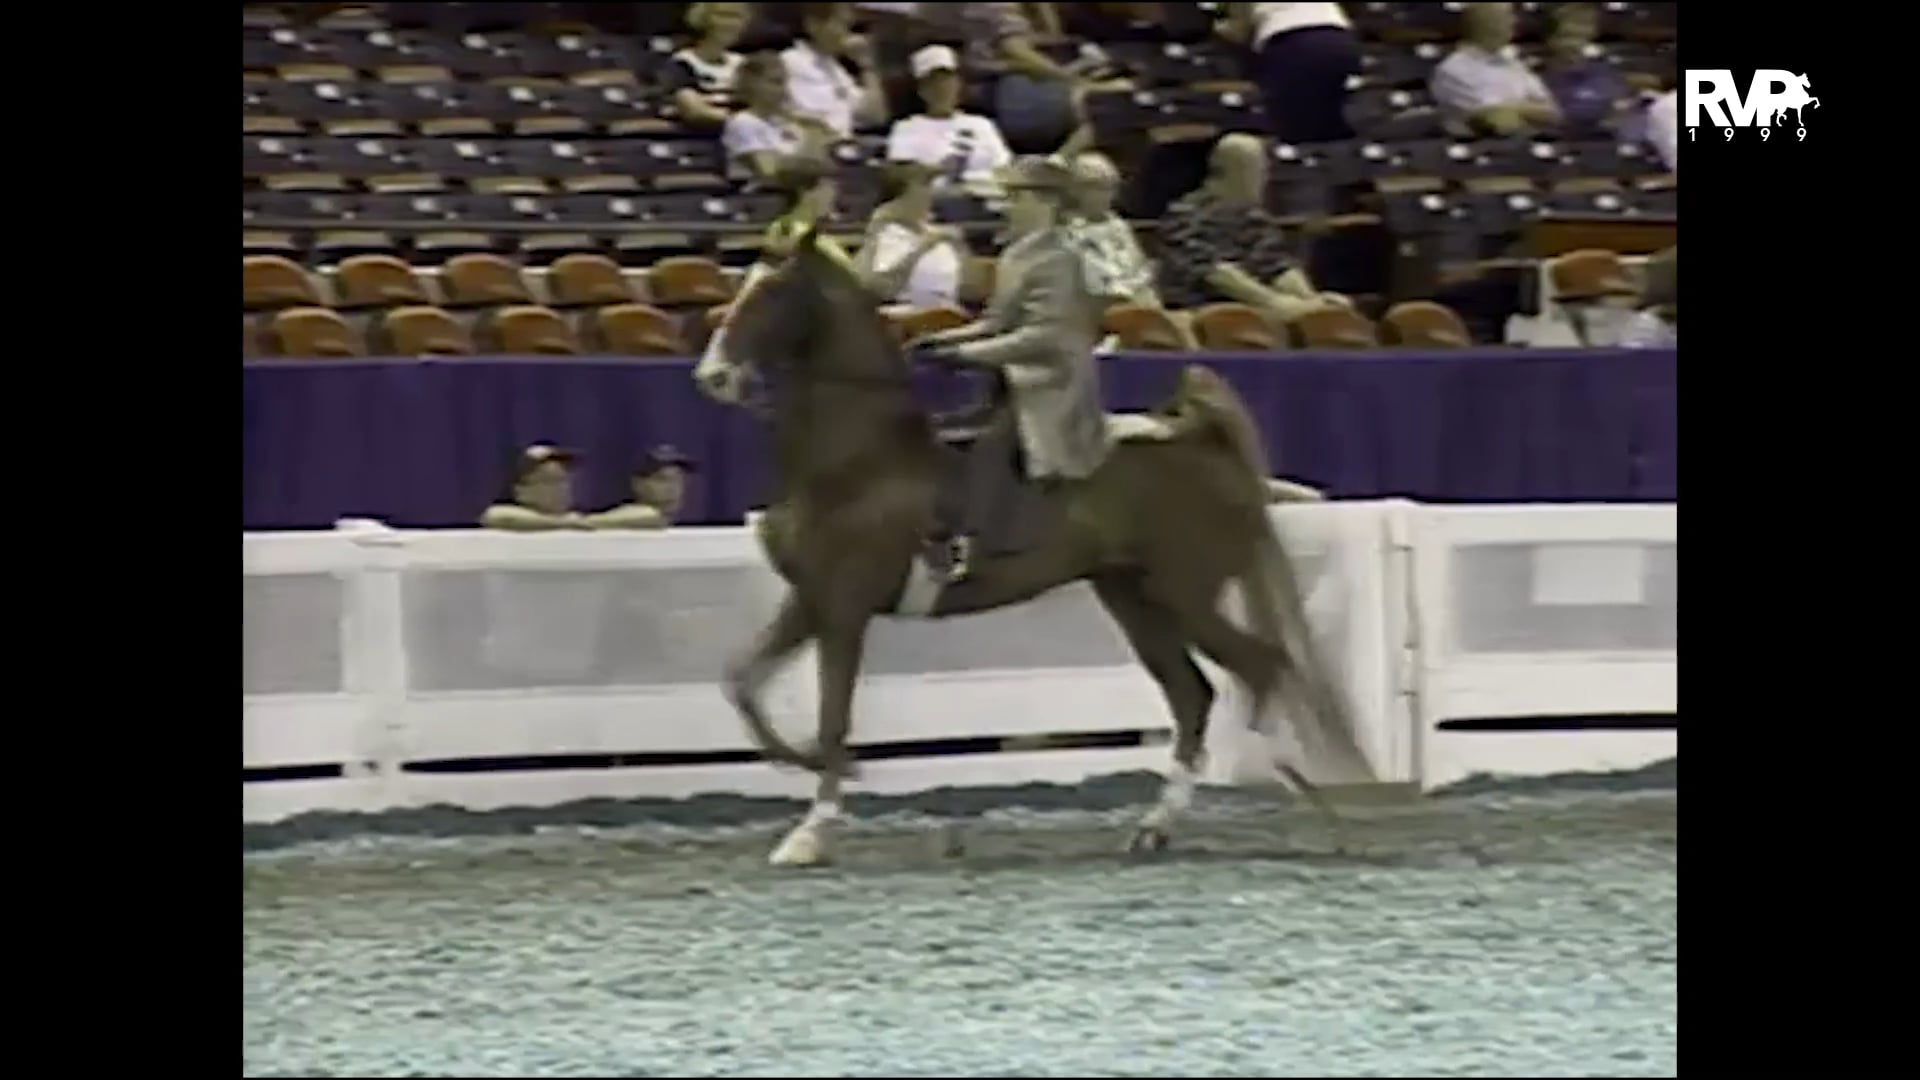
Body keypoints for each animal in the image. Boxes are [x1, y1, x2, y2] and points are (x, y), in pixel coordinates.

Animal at [693, 233, 1374, 866]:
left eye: (772, 293)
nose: (713, 377)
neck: (856, 462)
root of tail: (1199, 441)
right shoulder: (810, 600)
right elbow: (742, 684)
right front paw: (805, 772)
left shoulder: (844, 606)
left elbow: (832, 716)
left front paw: (812, 830)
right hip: (1134, 600)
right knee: (1195, 696)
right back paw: (1156, 828)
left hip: (1184, 595)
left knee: (1261, 666)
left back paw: (1294, 788)